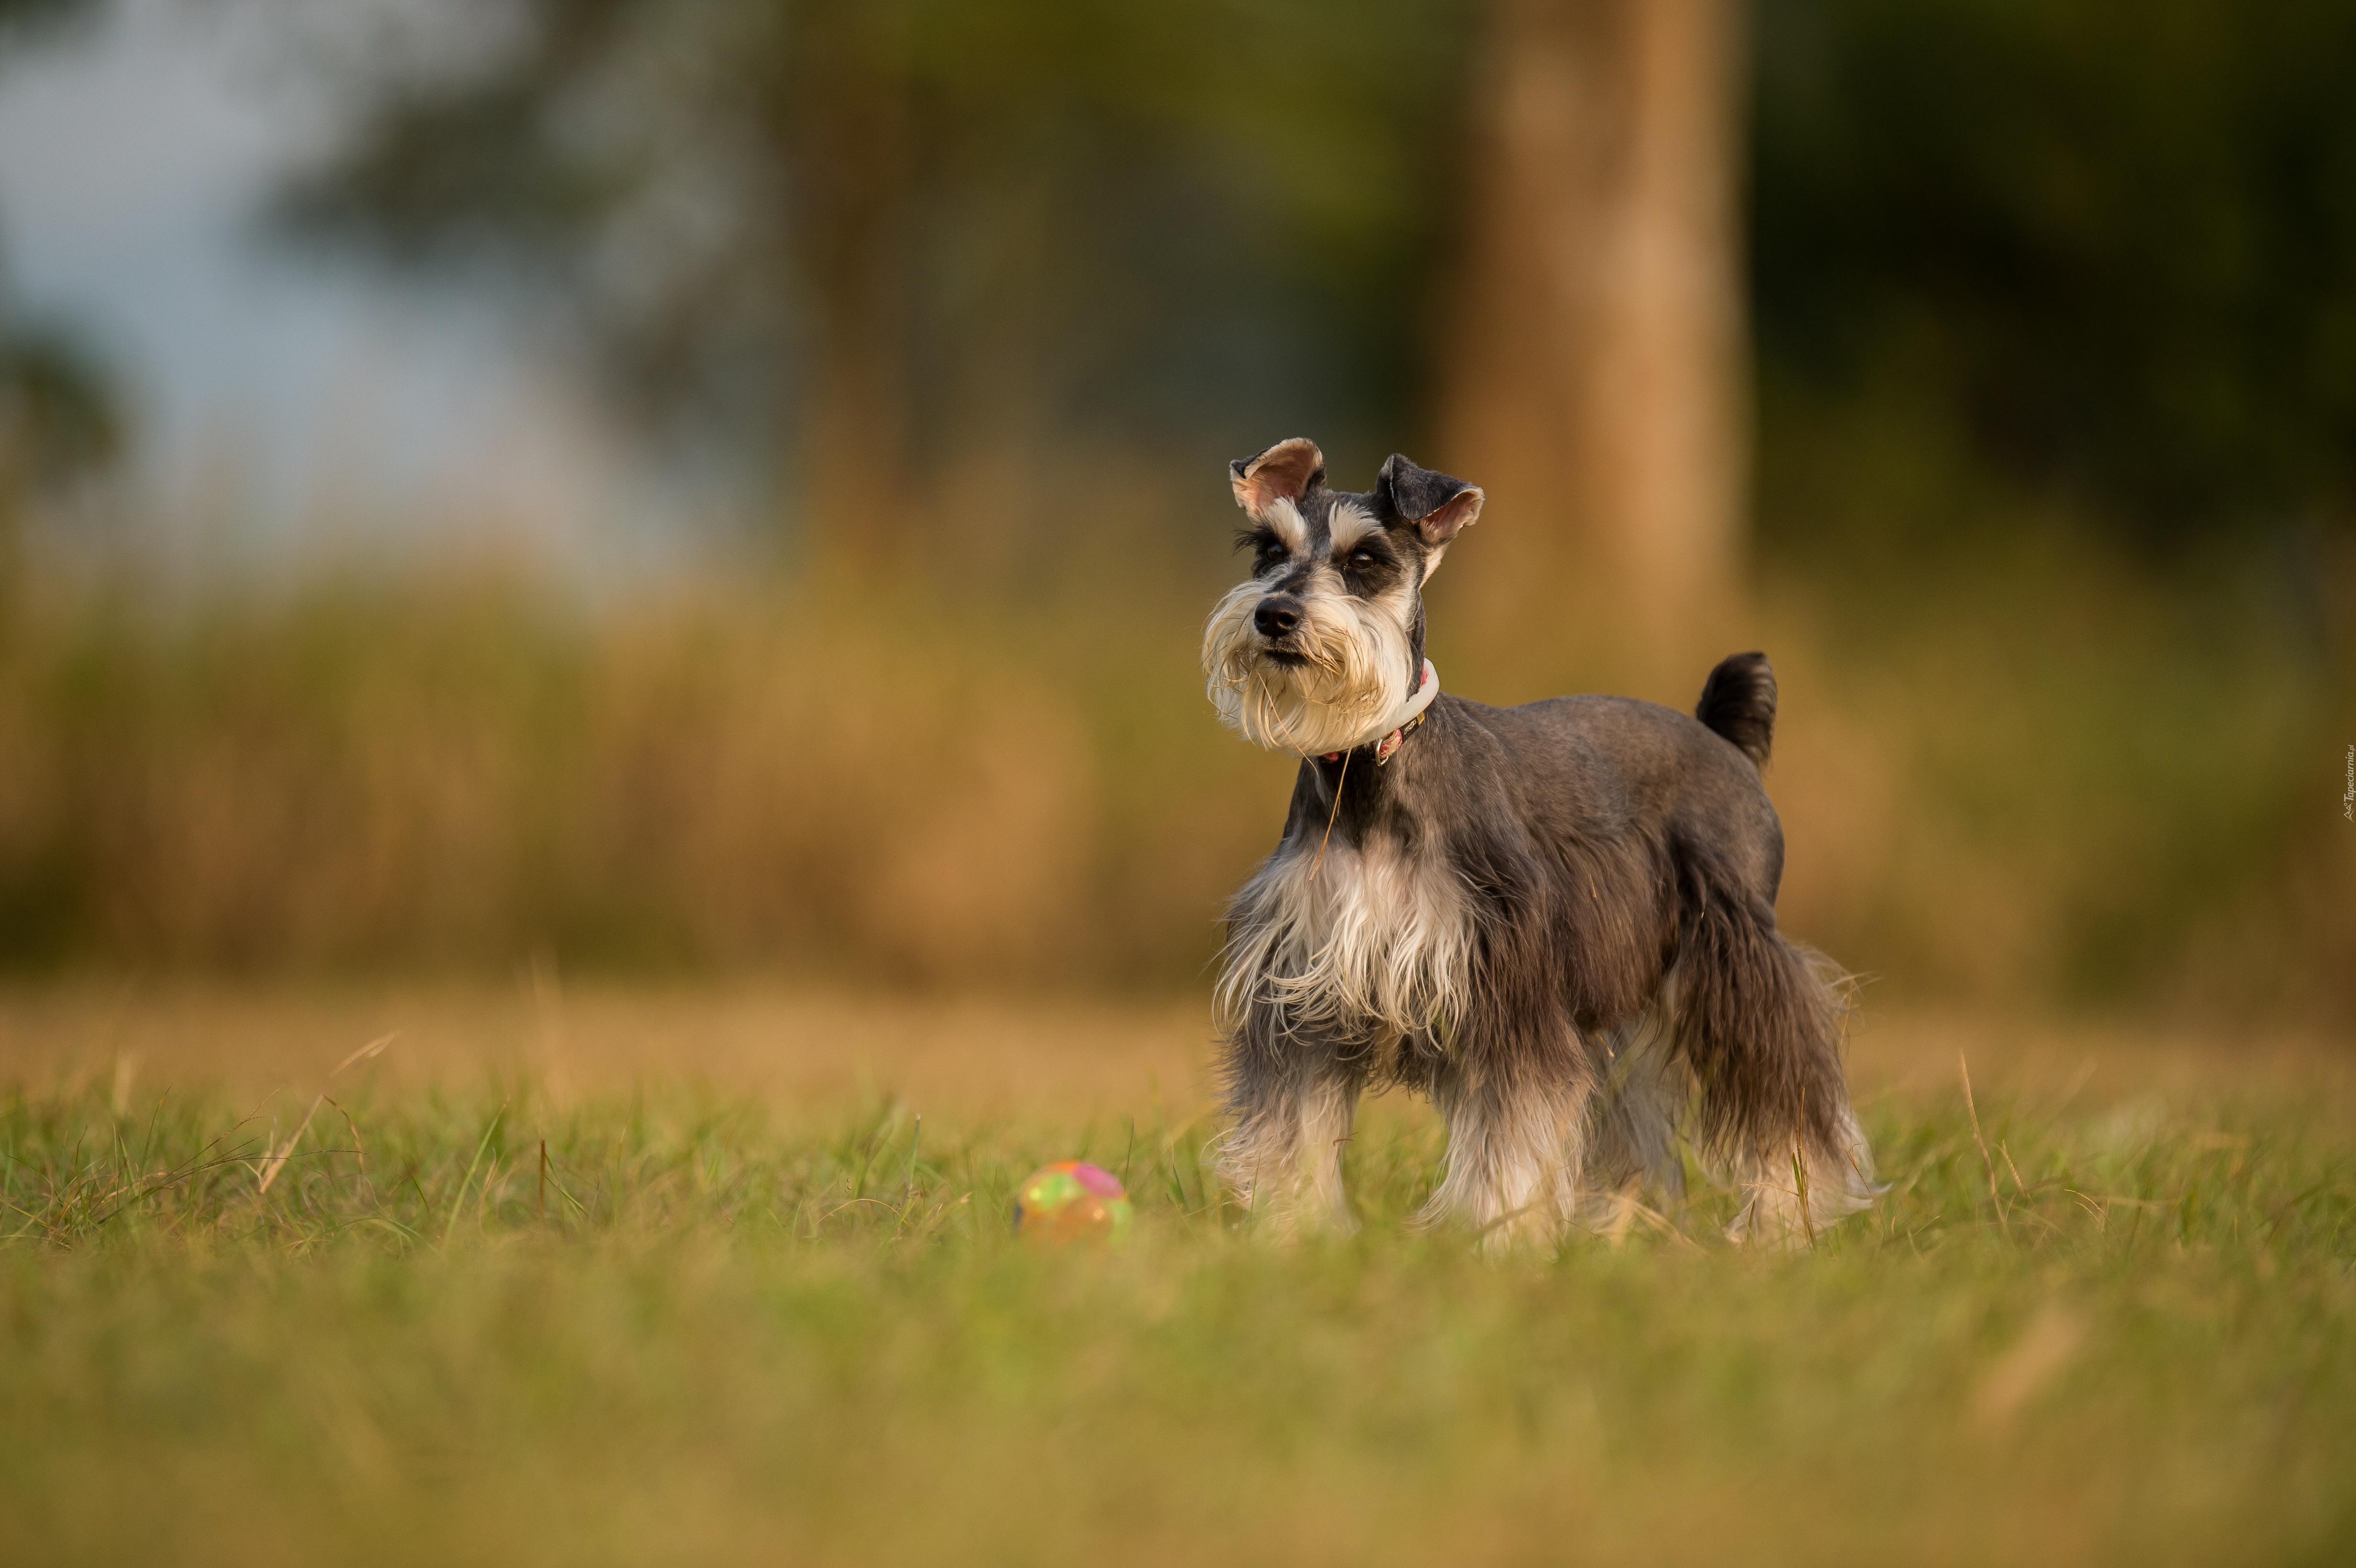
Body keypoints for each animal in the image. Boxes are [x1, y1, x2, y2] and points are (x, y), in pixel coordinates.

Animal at [1206, 433, 1865, 1243]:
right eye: (1269, 550)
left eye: (1366, 561)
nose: (1275, 615)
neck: (1370, 773)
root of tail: (1721, 739)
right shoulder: (1301, 1000)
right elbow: (1291, 1132)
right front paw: (1292, 1233)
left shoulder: (1510, 999)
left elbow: (1510, 1138)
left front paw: (1497, 1236)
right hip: (1625, 1006)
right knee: (1633, 1120)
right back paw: (1619, 1231)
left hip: (1739, 959)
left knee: (1789, 1099)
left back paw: (1785, 1220)